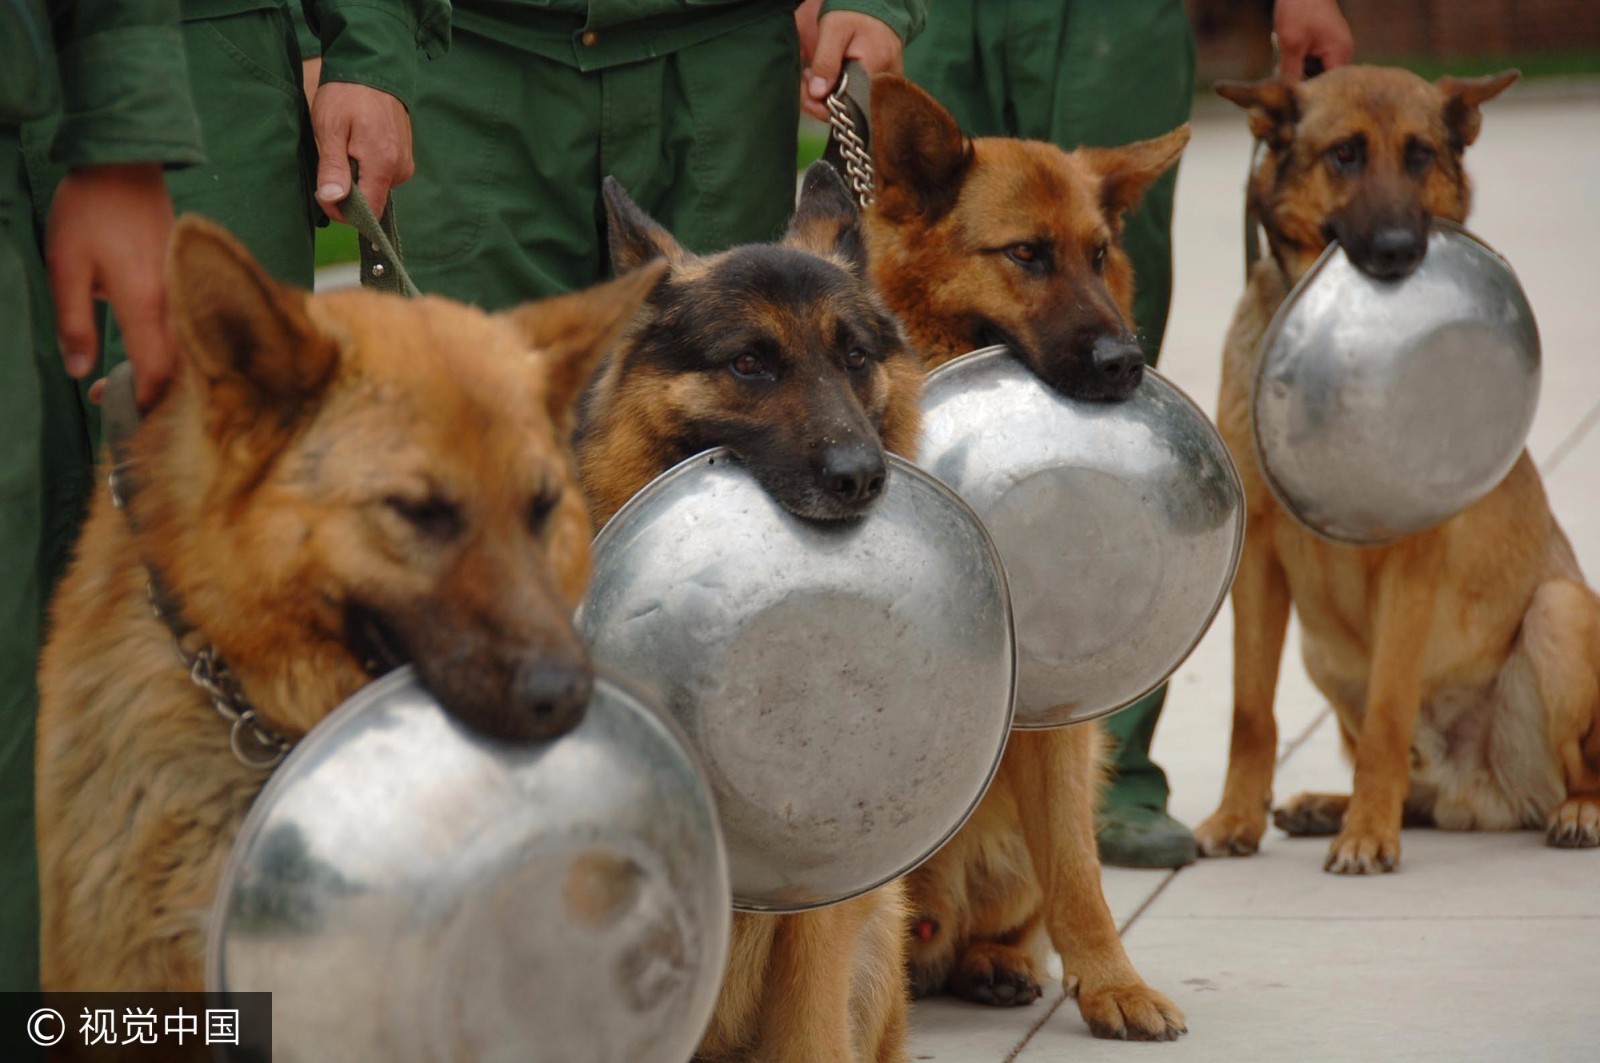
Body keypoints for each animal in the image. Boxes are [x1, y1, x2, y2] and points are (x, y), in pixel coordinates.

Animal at [864, 76, 1190, 1043]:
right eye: (1027, 255)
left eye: (1098, 253)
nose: (1125, 363)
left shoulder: (1059, 730)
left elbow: (1079, 874)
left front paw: (1113, 981)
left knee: (1010, 914)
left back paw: (994, 961)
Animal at [1190, 64, 1600, 870]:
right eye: (1344, 155)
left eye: (1419, 156)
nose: (1397, 249)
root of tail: (1483, 797)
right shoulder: (1256, 564)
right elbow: (1251, 711)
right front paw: (1237, 817)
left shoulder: (1409, 566)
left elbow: (1386, 713)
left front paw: (1368, 836)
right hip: (1320, 654)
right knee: (1419, 794)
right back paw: (1329, 804)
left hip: (1560, 613)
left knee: (1582, 772)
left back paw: (1575, 810)